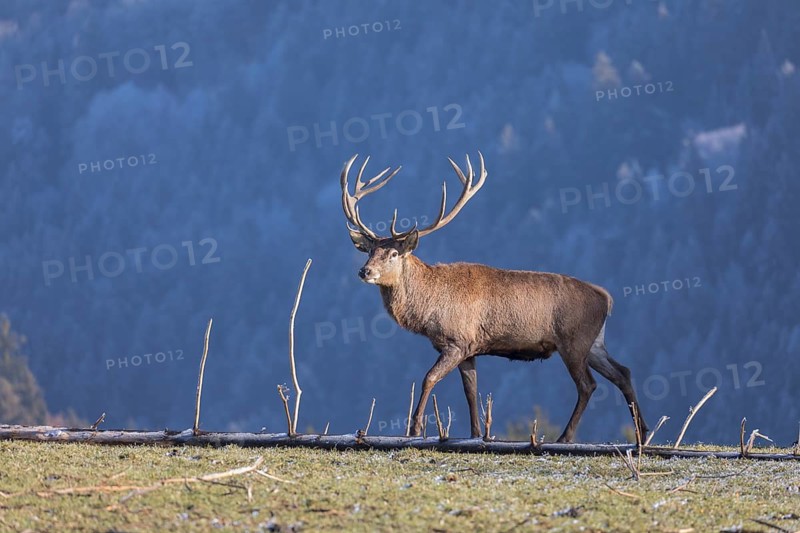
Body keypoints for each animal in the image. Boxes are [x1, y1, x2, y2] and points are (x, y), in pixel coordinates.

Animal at [340, 152, 648, 443]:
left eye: (393, 253)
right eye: (370, 251)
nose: (364, 271)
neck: (428, 310)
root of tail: (607, 298)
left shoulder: (456, 341)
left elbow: (429, 379)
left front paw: (414, 429)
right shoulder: (468, 348)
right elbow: (470, 391)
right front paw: (476, 433)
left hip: (573, 340)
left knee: (588, 385)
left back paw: (566, 436)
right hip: (594, 343)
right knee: (623, 372)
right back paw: (642, 432)